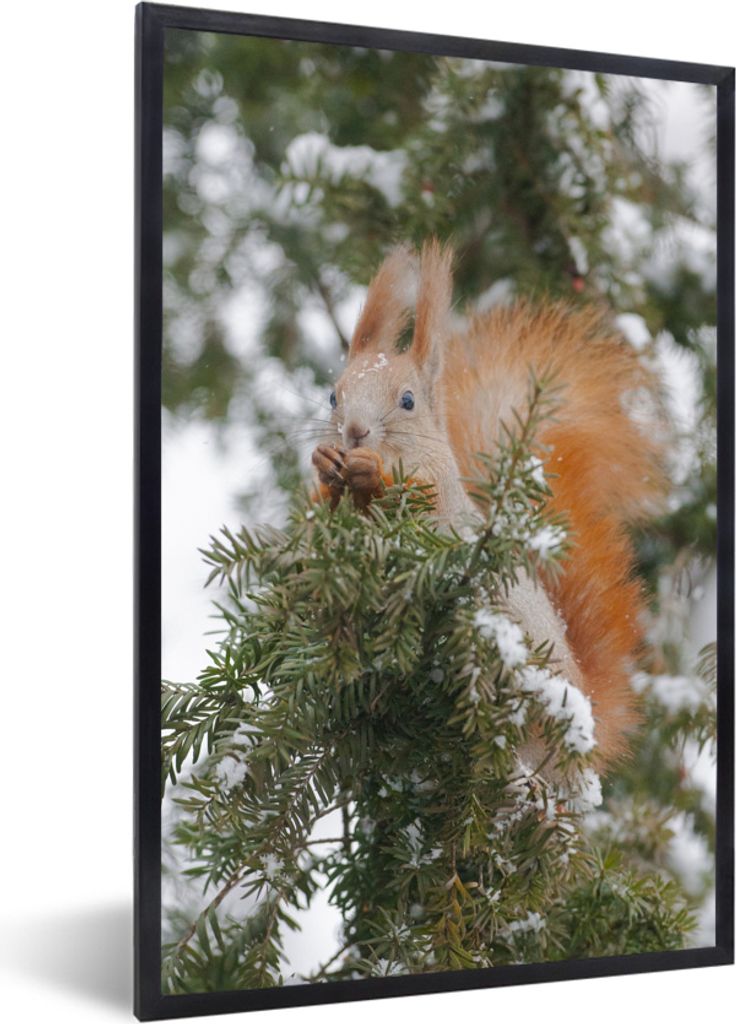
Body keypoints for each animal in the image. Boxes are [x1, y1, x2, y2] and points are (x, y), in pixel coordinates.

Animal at [312, 238, 662, 769]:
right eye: (334, 396)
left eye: (408, 400)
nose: (354, 432)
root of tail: (585, 730)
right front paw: (323, 463)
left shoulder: (439, 492)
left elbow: (415, 499)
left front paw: (369, 471)